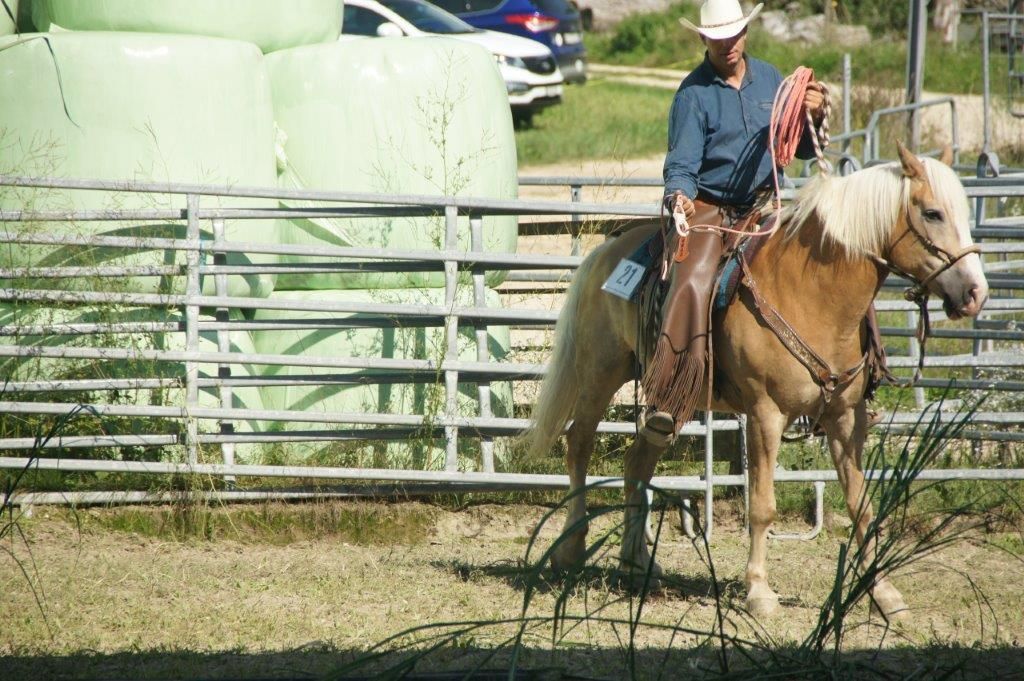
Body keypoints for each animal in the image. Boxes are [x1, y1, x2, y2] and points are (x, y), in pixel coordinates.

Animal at [523, 143, 989, 618]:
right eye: (932, 212)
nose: (976, 293)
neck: (812, 292)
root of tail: (607, 251)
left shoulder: (845, 418)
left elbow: (860, 503)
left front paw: (884, 593)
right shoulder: (766, 414)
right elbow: (762, 506)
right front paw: (759, 591)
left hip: (669, 395)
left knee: (638, 460)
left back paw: (635, 562)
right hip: (599, 371)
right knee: (579, 445)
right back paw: (571, 549)